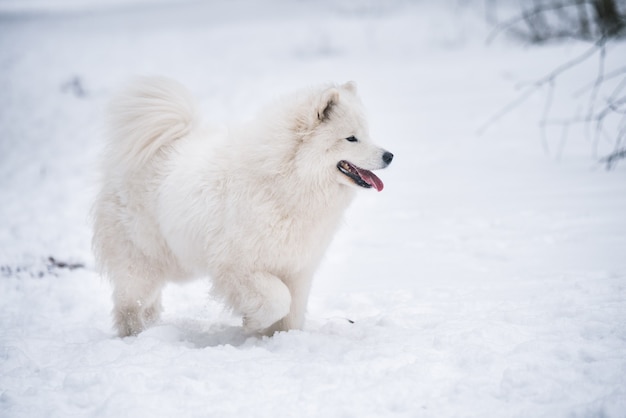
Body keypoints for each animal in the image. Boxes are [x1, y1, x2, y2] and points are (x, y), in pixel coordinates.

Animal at [92, 76, 390, 336]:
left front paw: (281, 339)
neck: (287, 179)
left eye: (367, 134)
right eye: (351, 138)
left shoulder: (297, 267)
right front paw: (252, 323)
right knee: (130, 304)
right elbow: (277, 300)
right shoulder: (239, 266)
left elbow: (292, 312)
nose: (390, 155)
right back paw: (136, 334)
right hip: (141, 258)